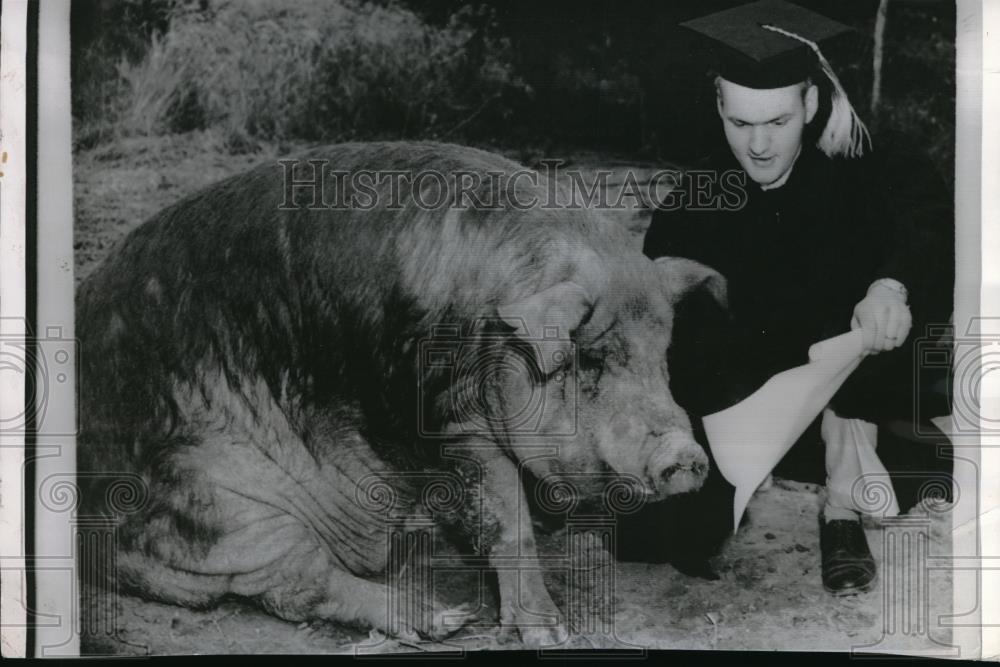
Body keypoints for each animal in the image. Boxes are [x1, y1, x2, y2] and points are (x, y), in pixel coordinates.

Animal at [74, 142, 724, 648]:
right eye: (590, 358)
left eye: (662, 355)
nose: (688, 457)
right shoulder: (449, 415)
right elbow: (505, 515)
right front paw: (550, 636)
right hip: (222, 505)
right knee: (297, 587)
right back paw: (442, 620)